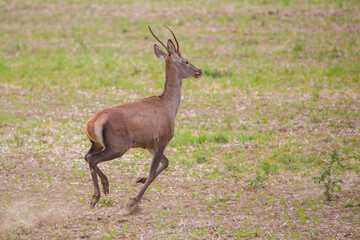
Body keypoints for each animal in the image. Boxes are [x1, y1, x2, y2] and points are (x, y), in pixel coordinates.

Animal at [84, 25, 202, 215]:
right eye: (186, 61)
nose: (199, 71)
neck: (169, 105)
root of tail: (92, 123)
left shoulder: (149, 145)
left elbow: (165, 163)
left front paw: (139, 179)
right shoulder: (163, 139)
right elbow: (154, 172)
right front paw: (132, 202)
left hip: (97, 143)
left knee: (87, 156)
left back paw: (105, 186)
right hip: (118, 146)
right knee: (92, 159)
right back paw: (96, 197)